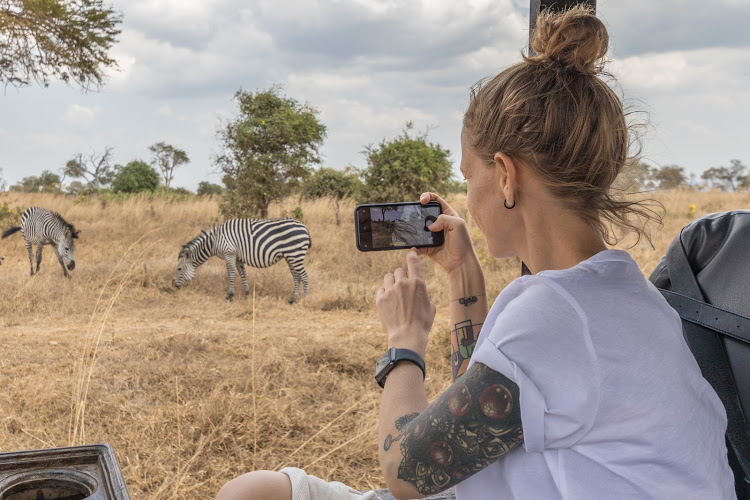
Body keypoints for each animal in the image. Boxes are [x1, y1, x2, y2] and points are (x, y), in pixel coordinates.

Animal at [175, 220, 312, 304]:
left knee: (304, 276)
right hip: (290, 256)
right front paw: (247, 294)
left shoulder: (229, 253)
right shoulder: (238, 258)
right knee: (296, 277)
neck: (214, 241)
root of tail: (305, 227)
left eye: (179, 269)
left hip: (295, 254)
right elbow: (242, 275)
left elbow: (231, 274)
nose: (173, 285)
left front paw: (229, 296)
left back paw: (306, 299)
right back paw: (291, 300)